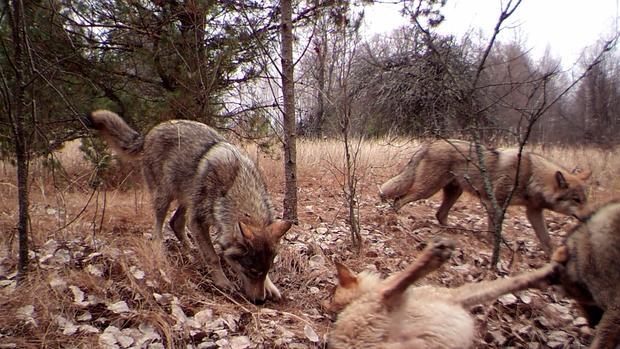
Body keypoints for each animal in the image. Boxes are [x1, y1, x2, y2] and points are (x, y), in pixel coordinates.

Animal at [83, 110, 294, 304]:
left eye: (265, 270)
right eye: (251, 270)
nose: (260, 301)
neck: (237, 186)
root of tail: (150, 131)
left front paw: (271, 287)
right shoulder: (198, 221)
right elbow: (213, 257)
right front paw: (222, 282)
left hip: (187, 199)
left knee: (175, 223)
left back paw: (191, 250)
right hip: (165, 197)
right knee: (159, 229)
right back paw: (161, 251)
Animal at [326, 239, 560, 348]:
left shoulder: (458, 296)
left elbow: (508, 283)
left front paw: (545, 275)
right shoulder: (454, 294)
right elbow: (503, 283)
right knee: (390, 290)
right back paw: (434, 254)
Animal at [378, 139, 592, 256]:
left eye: (585, 199)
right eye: (576, 200)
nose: (590, 216)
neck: (531, 175)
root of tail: (431, 143)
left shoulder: (533, 211)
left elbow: (546, 239)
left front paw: (553, 258)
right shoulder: (495, 203)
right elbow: (494, 229)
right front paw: (493, 246)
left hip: (453, 192)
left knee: (440, 214)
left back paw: (454, 231)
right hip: (427, 190)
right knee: (400, 200)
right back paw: (396, 219)